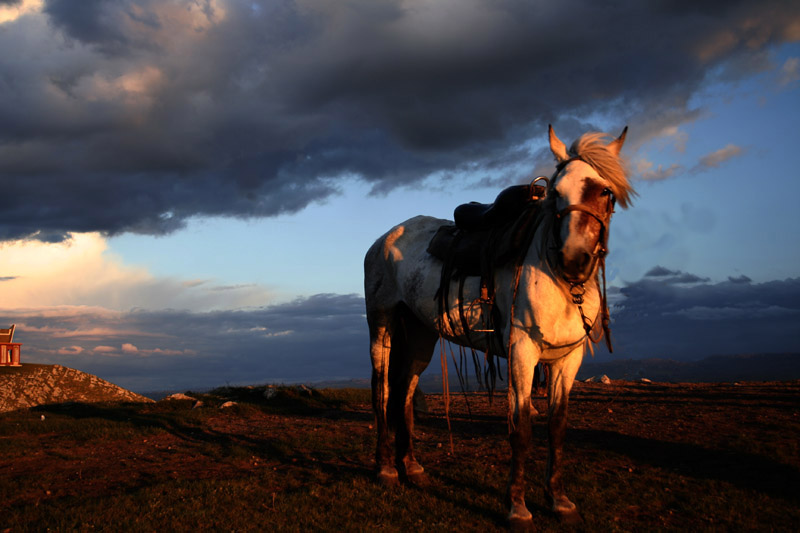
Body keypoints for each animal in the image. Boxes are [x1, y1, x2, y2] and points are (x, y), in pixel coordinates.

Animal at [366, 125, 636, 528]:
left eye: (604, 191)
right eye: (556, 193)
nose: (573, 259)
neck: (559, 279)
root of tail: (386, 238)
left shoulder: (567, 359)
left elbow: (557, 426)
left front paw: (559, 501)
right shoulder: (522, 353)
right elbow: (520, 428)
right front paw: (518, 508)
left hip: (420, 335)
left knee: (403, 393)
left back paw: (411, 467)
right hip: (382, 324)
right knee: (383, 390)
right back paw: (385, 470)